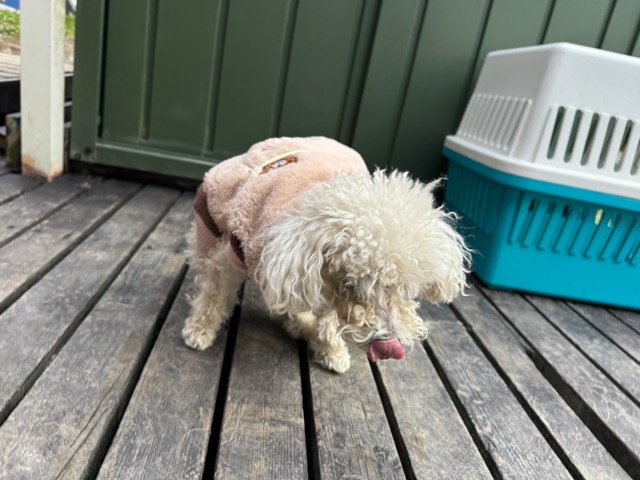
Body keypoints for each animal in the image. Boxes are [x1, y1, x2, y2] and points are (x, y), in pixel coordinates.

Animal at [182, 136, 469, 373]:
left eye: (407, 290)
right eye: (353, 285)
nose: (389, 347)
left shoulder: (321, 287)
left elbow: (330, 319)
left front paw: (332, 351)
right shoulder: (232, 255)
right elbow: (213, 294)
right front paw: (199, 330)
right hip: (208, 224)